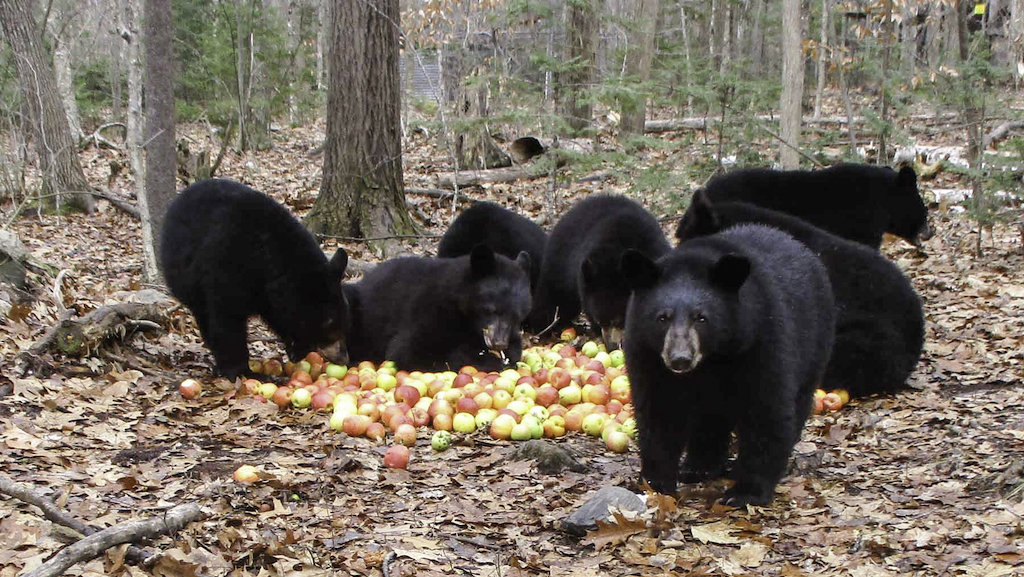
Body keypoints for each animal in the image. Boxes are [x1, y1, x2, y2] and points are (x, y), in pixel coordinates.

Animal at [158, 178, 352, 381]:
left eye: (346, 324)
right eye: (330, 327)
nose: (344, 358)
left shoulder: (268, 293)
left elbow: (280, 315)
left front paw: (297, 347)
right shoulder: (226, 267)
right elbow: (227, 318)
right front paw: (240, 370)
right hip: (184, 277)